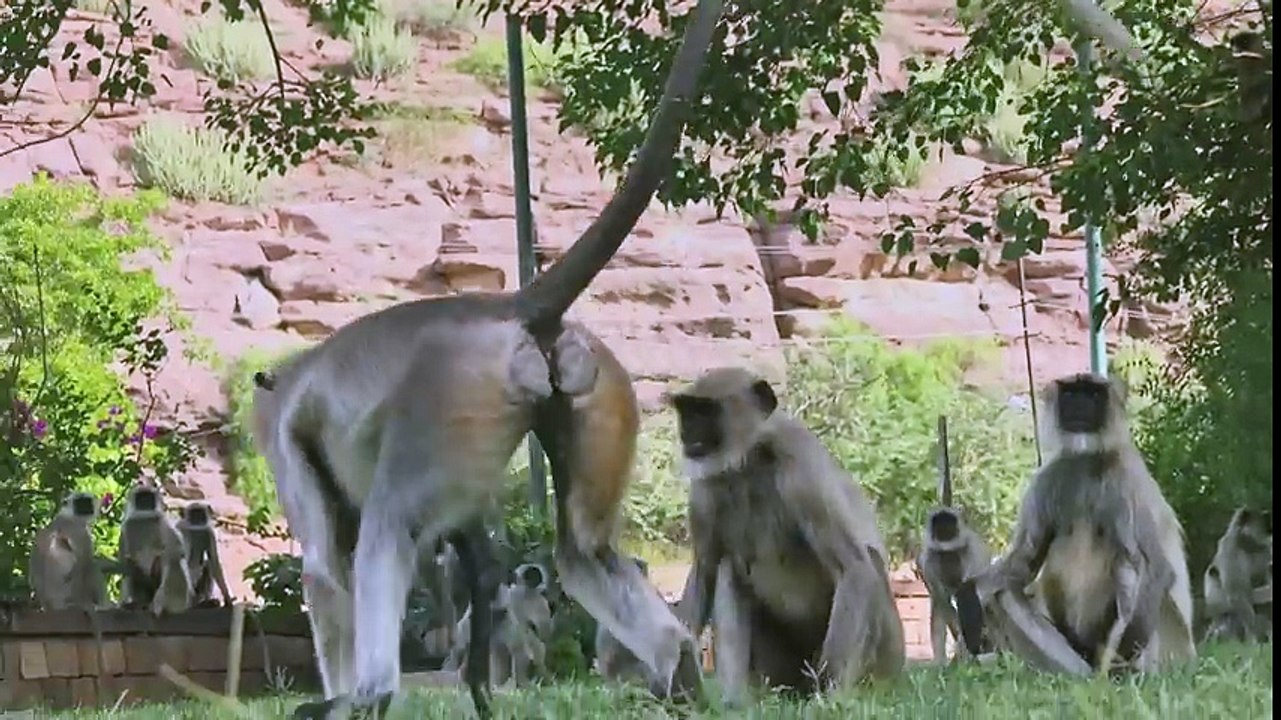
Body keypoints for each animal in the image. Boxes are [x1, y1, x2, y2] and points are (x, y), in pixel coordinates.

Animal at [118, 484, 193, 617]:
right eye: (141, 497)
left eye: (149, 497)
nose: (146, 502)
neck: (145, 519)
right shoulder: (128, 528)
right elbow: (126, 561)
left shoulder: (162, 523)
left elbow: (176, 549)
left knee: (173, 561)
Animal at [249, 4, 723, 716]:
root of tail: (513, 306)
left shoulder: (288, 445)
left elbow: (325, 569)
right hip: (594, 381)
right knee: (582, 551)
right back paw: (677, 667)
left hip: (454, 391)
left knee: (387, 526)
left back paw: (371, 692)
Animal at [671, 367, 905, 705]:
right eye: (686, 410)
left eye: (704, 411)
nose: (686, 431)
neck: (748, 463)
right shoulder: (705, 490)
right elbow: (706, 567)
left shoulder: (802, 472)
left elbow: (853, 567)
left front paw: (829, 697)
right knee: (728, 569)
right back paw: (735, 701)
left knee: (869, 563)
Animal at [973, 373, 1196, 677]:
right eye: (1071, 394)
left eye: (1091, 395)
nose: (1079, 405)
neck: (1087, 460)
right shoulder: (1048, 477)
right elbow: (1023, 560)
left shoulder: (1126, 480)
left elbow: (1159, 567)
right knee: (1005, 591)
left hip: (1170, 645)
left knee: (1129, 562)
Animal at [1202, 507, 1272, 643]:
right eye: (1261, 524)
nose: (1267, 533)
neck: (1246, 543)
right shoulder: (1229, 548)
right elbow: (1237, 591)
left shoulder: (1265, 551)